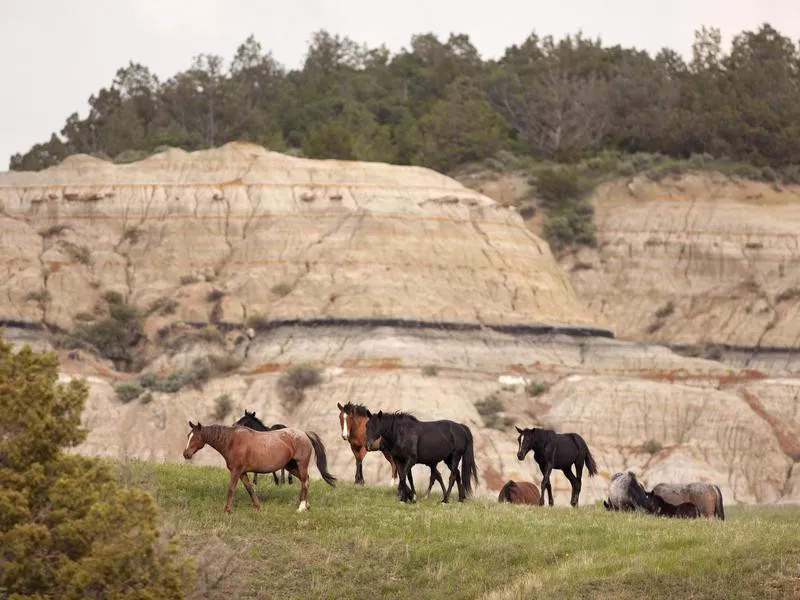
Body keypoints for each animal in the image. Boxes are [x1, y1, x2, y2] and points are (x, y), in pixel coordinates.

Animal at [184, 420, 334, 512]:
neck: (232, 441)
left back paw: (301, 507)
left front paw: (227, 509)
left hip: (301, 465)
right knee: (305, 480)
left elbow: (231, 488)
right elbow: (250, 489)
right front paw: (257, 507)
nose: (186, 454)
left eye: (196, 437)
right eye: (188, 436)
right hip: (290, 467)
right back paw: (306, 504)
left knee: (305, 481)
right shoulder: (242, 472)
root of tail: (304, 434)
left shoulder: (236, 471)